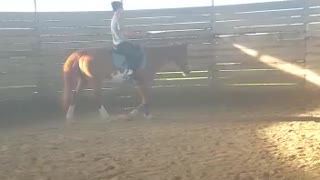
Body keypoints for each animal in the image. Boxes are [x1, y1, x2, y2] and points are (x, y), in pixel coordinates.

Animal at [62, 43, 190, 124]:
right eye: (184, 55)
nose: (188, 71)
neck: (150, 57)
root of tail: (83, 53)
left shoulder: (140, 83)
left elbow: (145, 98)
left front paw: (131, 115)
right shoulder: (142, 82)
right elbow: (146, 98)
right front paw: (145, 115)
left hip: (83, 80)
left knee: (75, 95)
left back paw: (69, 118)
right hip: (95, 80)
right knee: (96, 95)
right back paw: (106, 116)